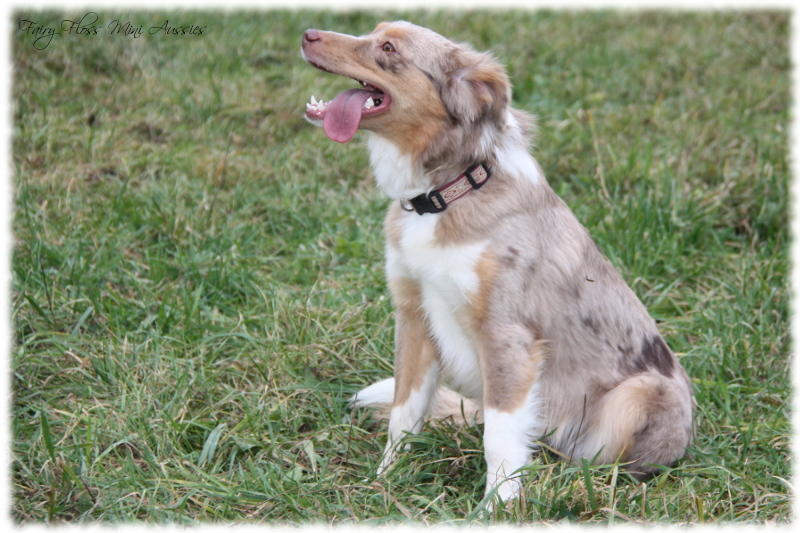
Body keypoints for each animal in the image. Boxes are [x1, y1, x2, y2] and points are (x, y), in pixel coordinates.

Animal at [300, 21, 692, 502]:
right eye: (373, 31)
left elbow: (500, 440)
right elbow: (404, 413)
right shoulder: (414, 316)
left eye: (388, 48)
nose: (307, 33)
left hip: (639, 394)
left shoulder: (507, 336)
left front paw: (496, 507)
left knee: (588, 461)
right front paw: (384, 482)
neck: (446, 194)